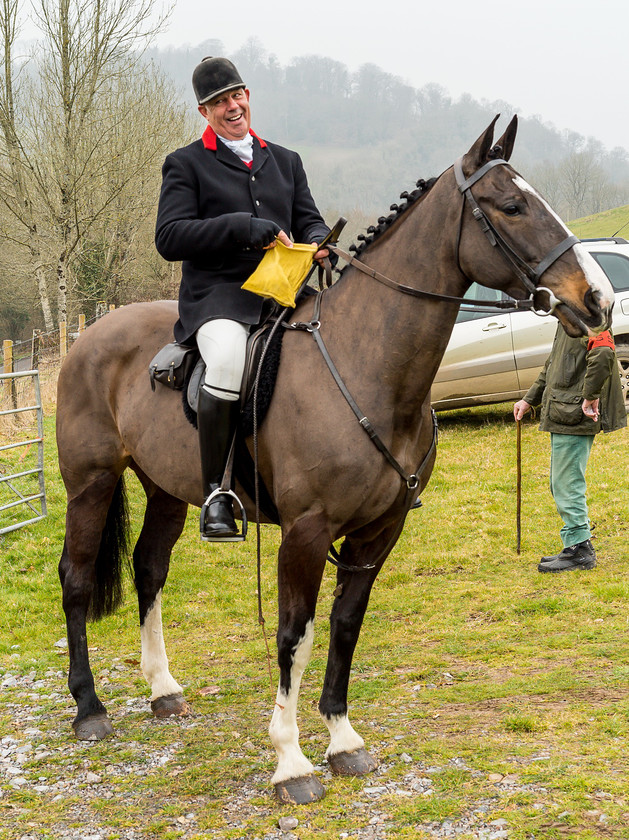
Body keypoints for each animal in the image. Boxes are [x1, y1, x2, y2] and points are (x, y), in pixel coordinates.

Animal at [55, 115, 612, 804]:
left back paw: (163, 691)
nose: (599, 299)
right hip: (91, 483)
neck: (366, 364)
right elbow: (294, 634)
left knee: (148, 568)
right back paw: (89, 709)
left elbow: (346, 625)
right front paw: (290, 762)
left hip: (166, 491)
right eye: (512, 205)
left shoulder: (379, 530)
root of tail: (89, 338)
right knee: (77, 579)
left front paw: (343, 741)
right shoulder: (306, 531)